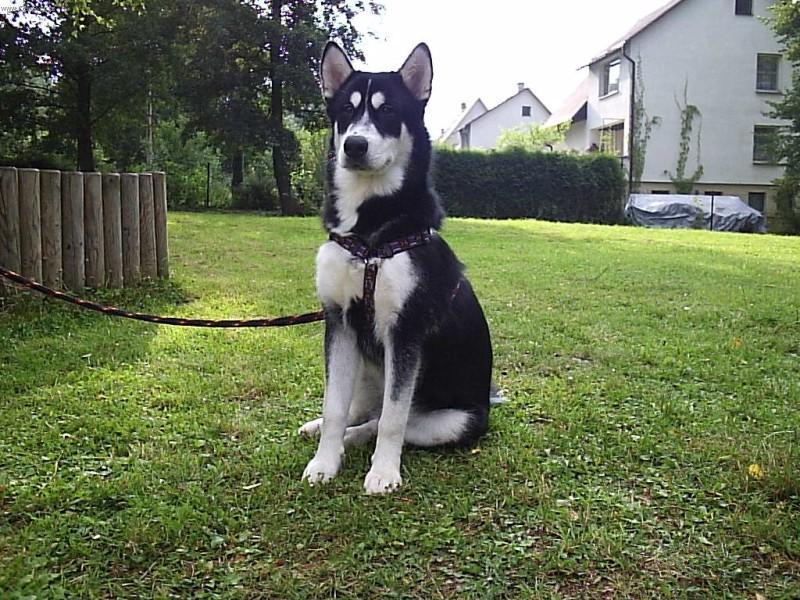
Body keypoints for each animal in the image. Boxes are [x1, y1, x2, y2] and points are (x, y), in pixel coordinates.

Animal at [296, 39, 490, 494]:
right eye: (346, 111)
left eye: (387, 112)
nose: (354, 146)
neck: (369, 236)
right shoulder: (339, 322)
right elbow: (334, 406)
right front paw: (324, 463)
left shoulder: (405, 332)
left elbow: (393, 419)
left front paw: (384, 472)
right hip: (365, 368)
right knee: (359, 411)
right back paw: (324, 430)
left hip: (455, 421)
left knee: (383, 420)